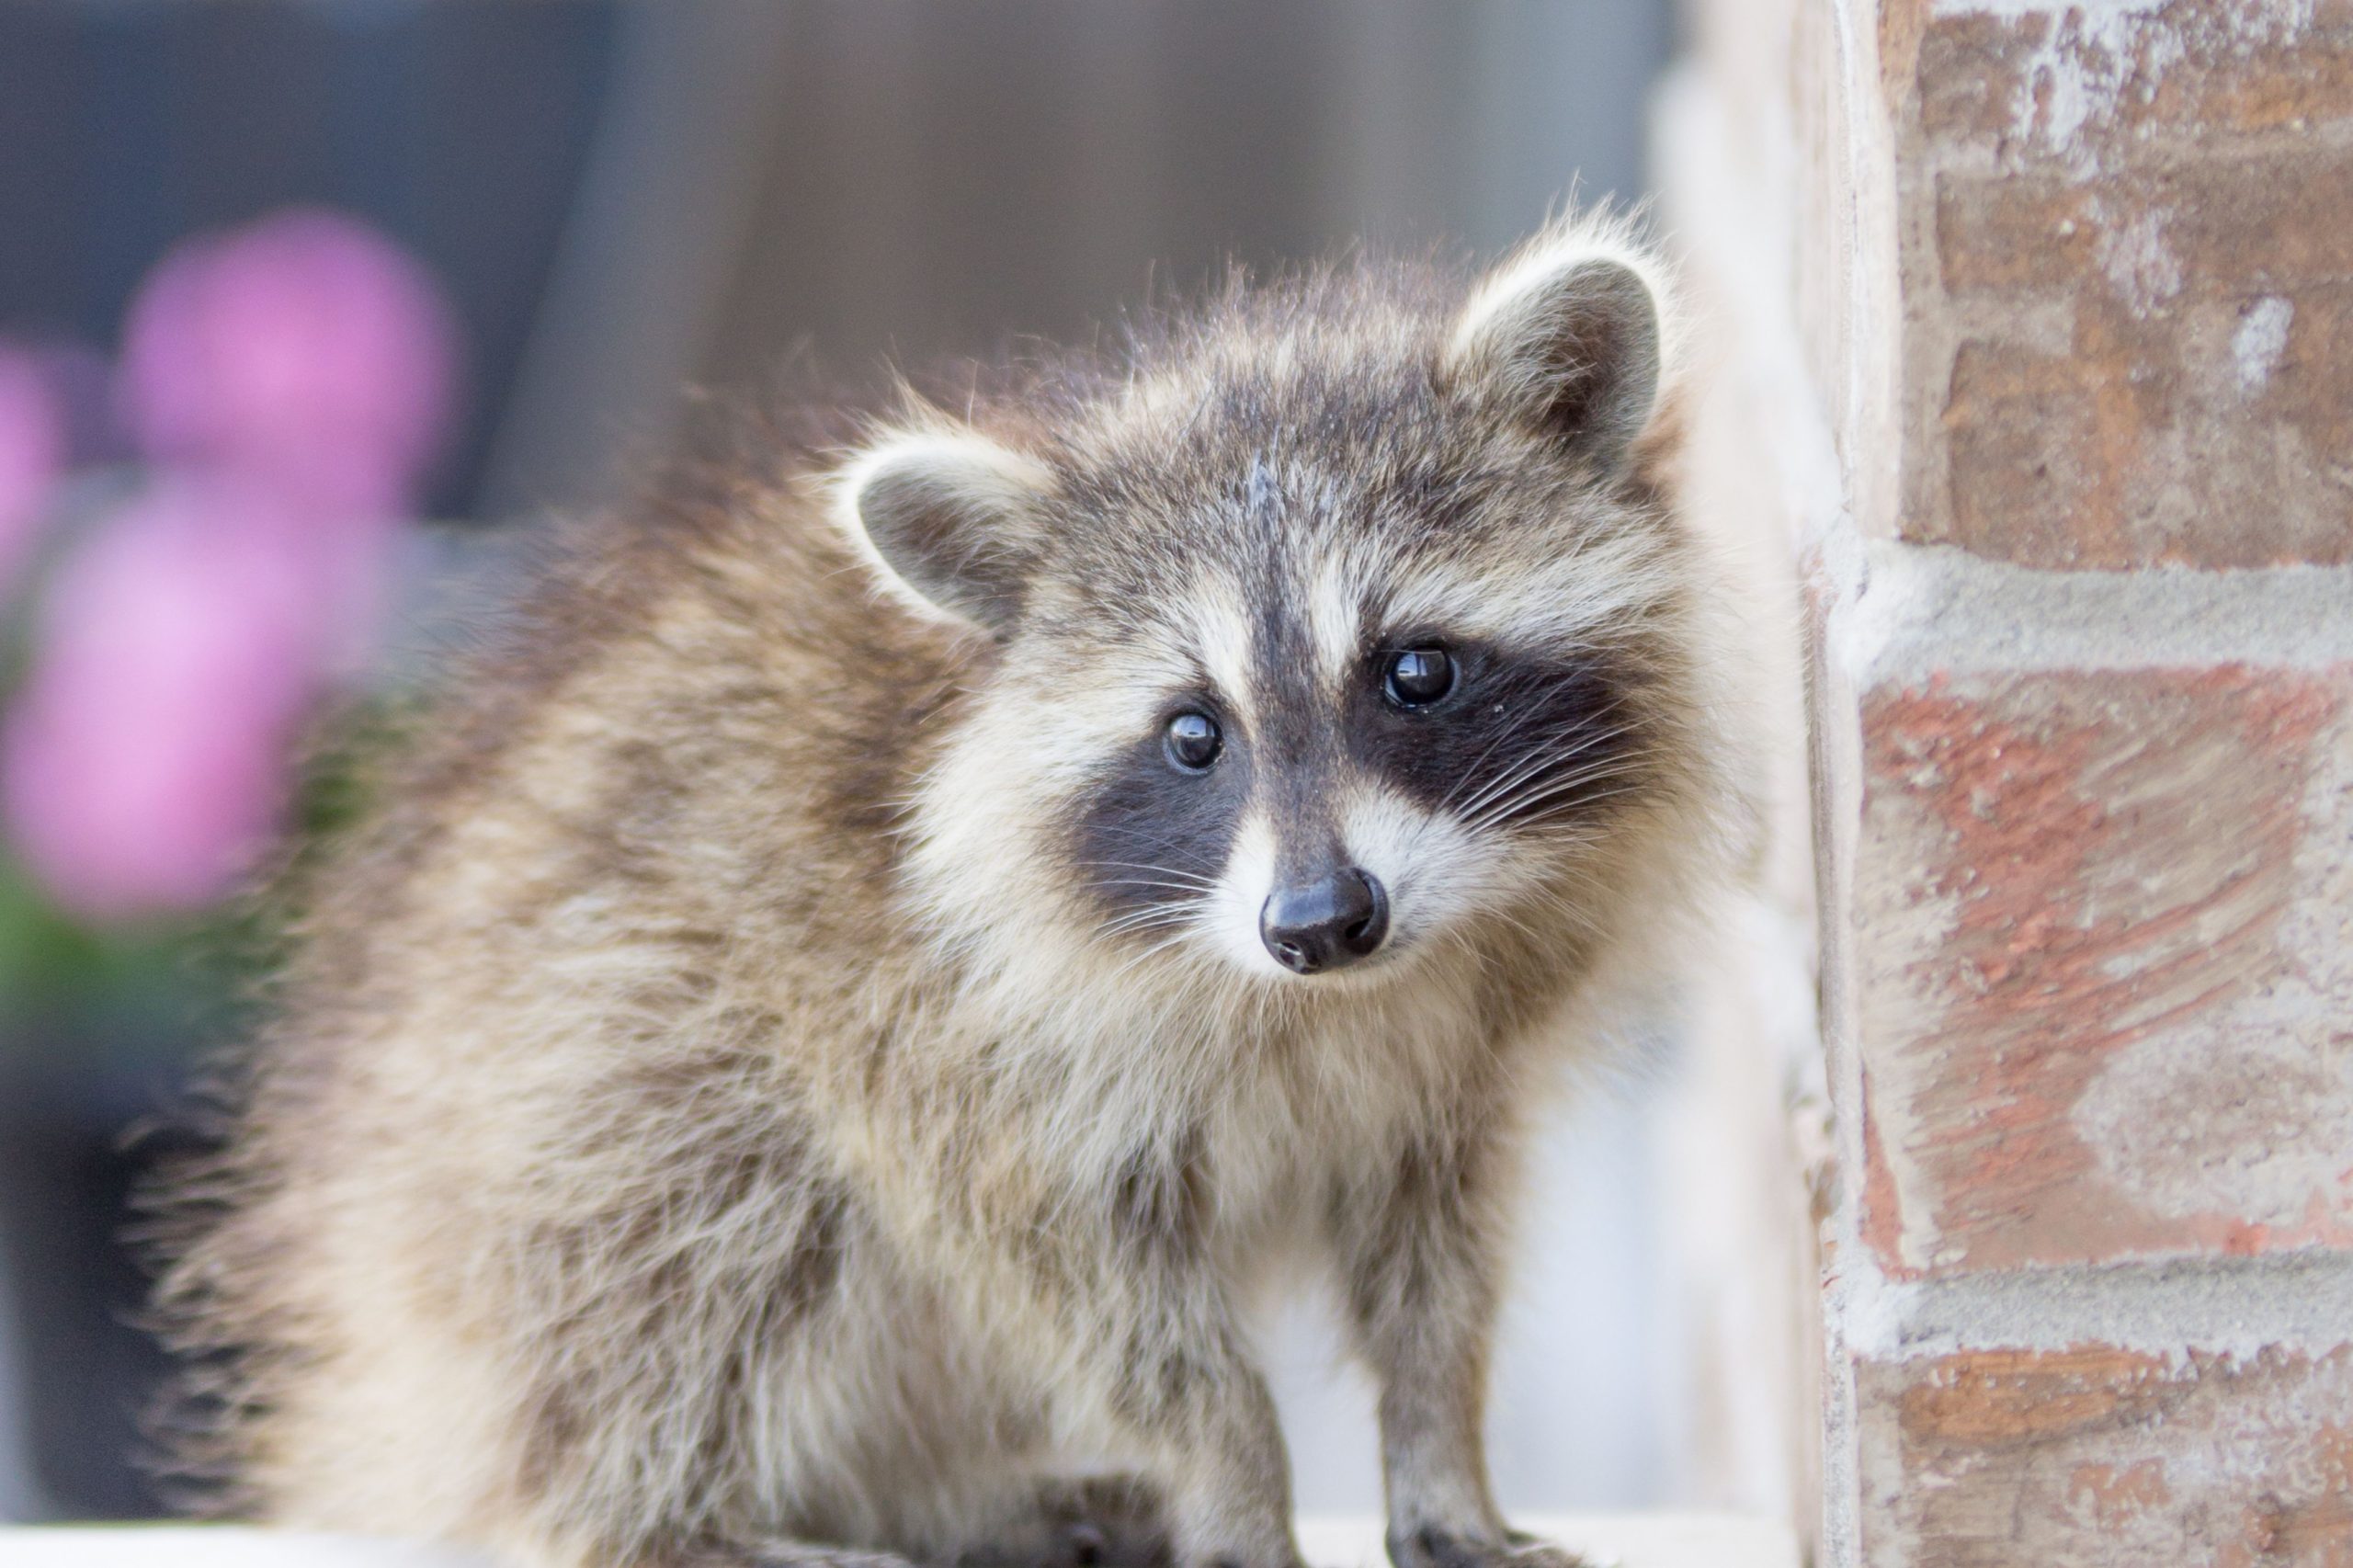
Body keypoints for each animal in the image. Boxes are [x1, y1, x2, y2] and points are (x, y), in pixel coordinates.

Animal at [154, 216, 1761, 1568]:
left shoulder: (1451, 1056)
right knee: (677, 1218)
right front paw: (1237, 1475)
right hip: (555, 1071)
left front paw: (1440, 1460)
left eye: (1416, 669)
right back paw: (677, 1522)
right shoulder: (936, 1032)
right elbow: (1094, 1297)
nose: (1318, 923)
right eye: (1194, 733)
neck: (1346, 993)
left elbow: (1436, 1263)